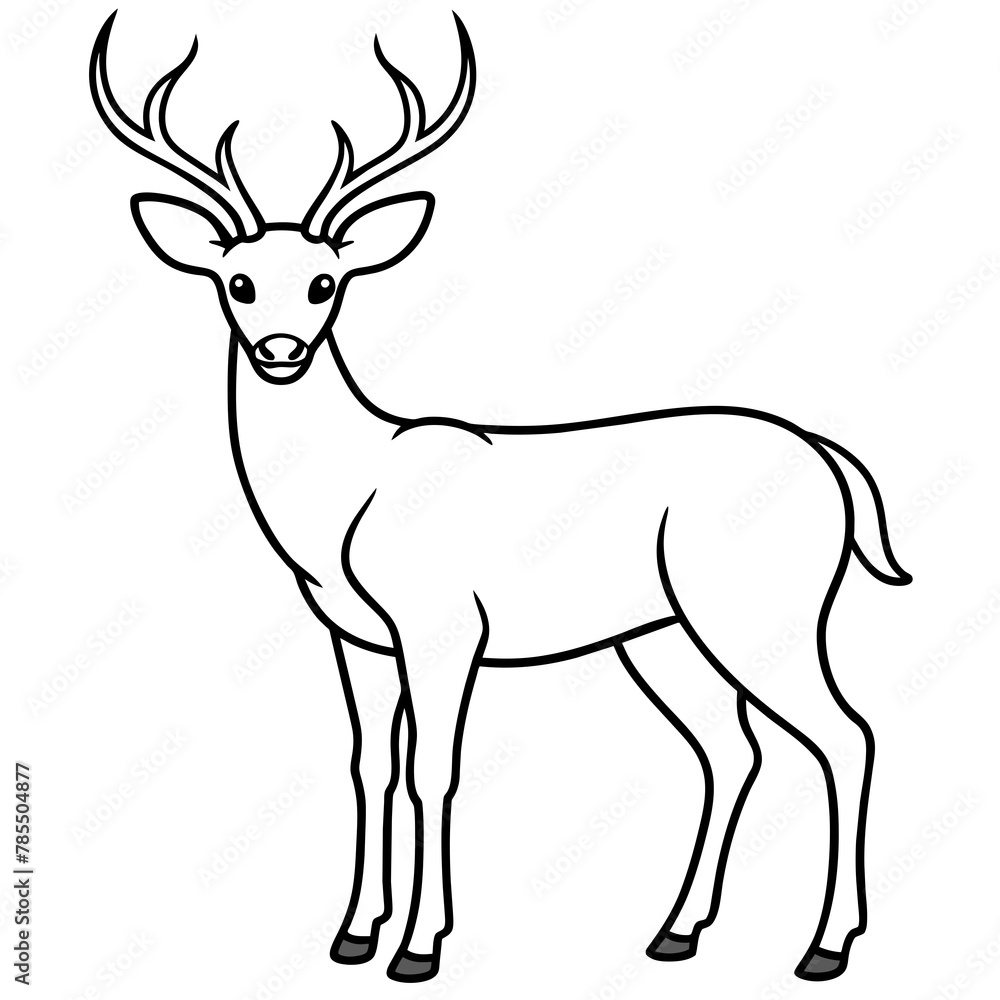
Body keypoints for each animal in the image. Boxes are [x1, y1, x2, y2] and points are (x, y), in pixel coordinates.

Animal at [91, 9, 911, 984]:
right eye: (238, 282)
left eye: (326, 282)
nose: (280, 350)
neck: (347, 504)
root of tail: (832, 462)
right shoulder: (355, 637)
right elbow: (371, 765)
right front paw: (352, 934)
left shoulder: (444, 627)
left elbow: (433, 770)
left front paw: (418, 947)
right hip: (661, 633)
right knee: (731, 746)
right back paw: (676, 931)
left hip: (759, 607)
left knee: (846, 735)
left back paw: (824, 947)